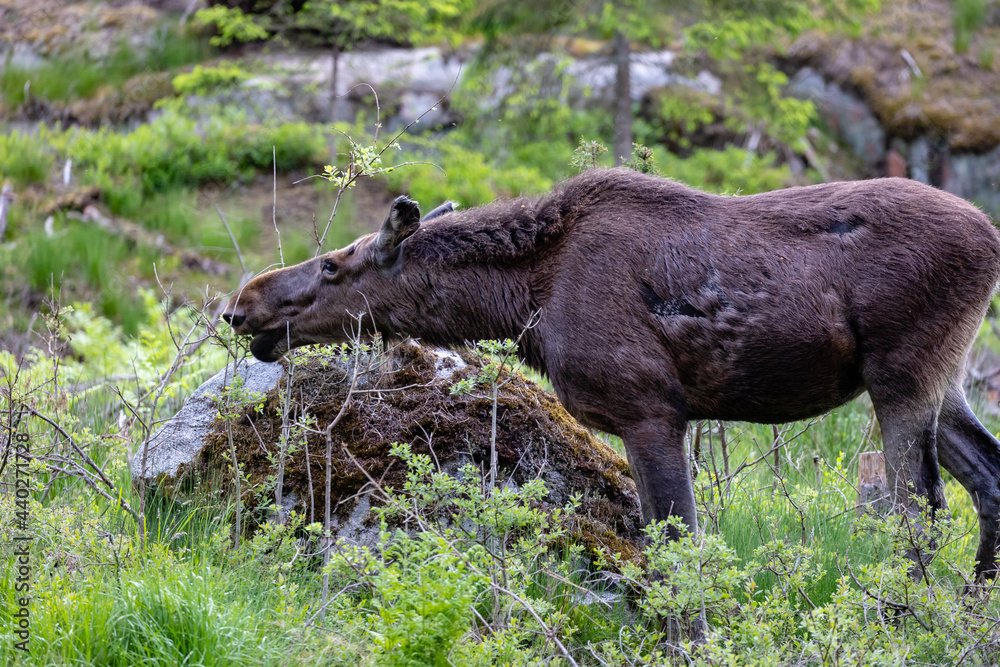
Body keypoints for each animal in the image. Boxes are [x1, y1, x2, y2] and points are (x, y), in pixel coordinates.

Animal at [223, 168, 1000, 580]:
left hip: (904, 372)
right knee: (986, 476)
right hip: (940, 378)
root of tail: (993, 238)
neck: (526, 302)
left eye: (333, 267)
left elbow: (679, 551)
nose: (241, 304)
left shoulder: (649, 408)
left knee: (920, 510)